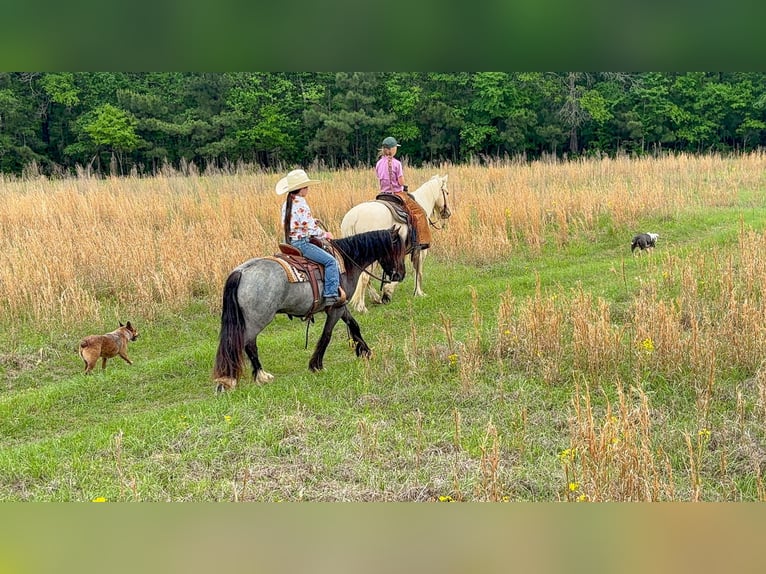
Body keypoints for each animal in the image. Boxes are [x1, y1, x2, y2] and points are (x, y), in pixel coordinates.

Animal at [213, 227, 406, 391]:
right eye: (398, 249)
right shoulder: (336, 309)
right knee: (246, 344)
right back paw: (242, 378)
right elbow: (327, 334)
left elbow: (354, 325)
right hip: (258, 319)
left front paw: (365, 352)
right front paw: (316, 365)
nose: (400, 275)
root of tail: (241, 272)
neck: (346, 263)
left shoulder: (340, 306)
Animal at [340, 174, 451, 313]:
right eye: (447, 192)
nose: (448, 213)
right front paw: (418, 293)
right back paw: (362, 307)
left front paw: (387, 292)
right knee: (365, 277)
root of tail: (353, 218)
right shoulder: (421, 251)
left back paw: (375, 298)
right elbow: (418, 271)